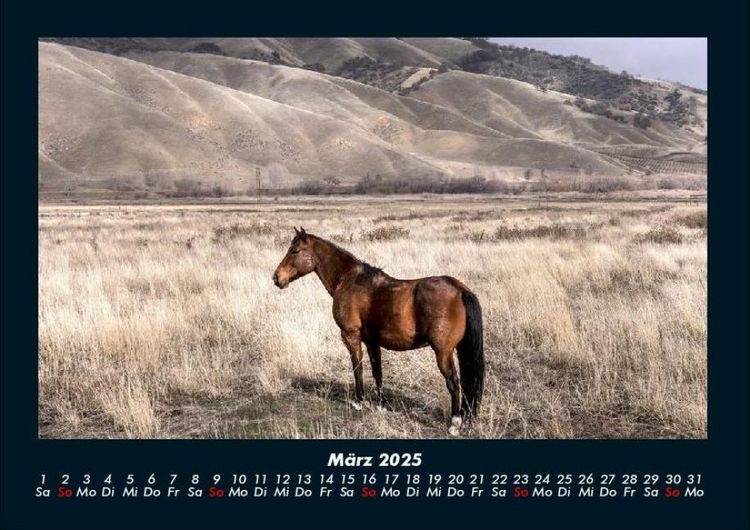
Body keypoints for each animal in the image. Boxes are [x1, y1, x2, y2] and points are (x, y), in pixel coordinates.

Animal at [272, 227, 484, 435]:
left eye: (295, 251)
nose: (276, 278)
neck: (349, 280)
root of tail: (460, 289)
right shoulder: (371, 341)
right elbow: (377, 372)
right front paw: (381, 404)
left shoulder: (350, 335)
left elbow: (357, 367)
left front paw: (359, 401)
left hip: (443, 352)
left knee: (454, 382)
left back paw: (454, 422)